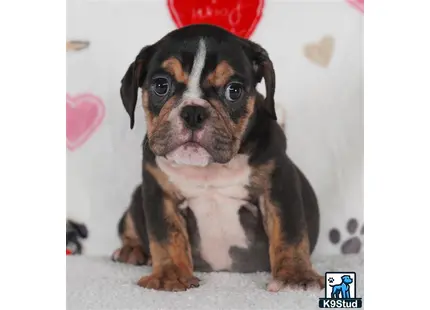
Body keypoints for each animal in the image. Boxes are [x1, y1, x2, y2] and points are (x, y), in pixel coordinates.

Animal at [112, 24, 324, 294]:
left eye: (234, 91)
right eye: (161, 85)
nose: (193, 112)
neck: (208, 170)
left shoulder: (278, 186)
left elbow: (289, 232)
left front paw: (295, 276)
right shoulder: (158, 193)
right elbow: (166, 236)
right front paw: (170, 276)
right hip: (135, 199)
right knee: (128, 223)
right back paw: (132, 250)